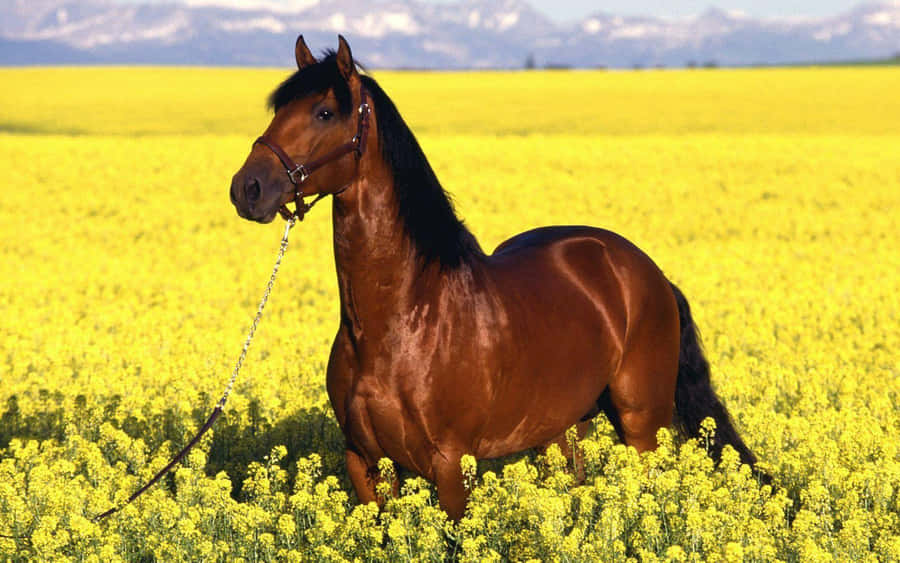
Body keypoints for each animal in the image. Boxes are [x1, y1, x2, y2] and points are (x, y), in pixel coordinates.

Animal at [230, 35, 761, 520]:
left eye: (324, 113)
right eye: (279, 109)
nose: (247, 188)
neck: (399, 319)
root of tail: (646, 270)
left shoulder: (450, 464)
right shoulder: (365, 462)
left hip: (641, 423)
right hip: (562, 428)